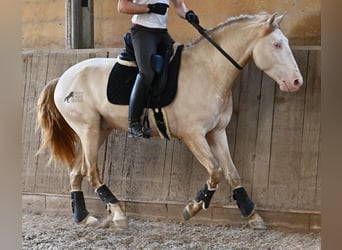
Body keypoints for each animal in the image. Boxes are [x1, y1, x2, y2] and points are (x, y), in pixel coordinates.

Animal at [36, 12, 302, 230]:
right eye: (277, 44)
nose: (296, 82)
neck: (209, 70)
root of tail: (63, 78)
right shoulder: (193, 135)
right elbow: (215, 171)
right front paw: (192, 208)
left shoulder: (217, 132)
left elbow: (232, 172)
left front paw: (252, 215)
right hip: (87, 129)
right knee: (91, 171)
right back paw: (119, 214)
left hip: (100, 130)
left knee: (76, 171)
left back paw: (83, 216)